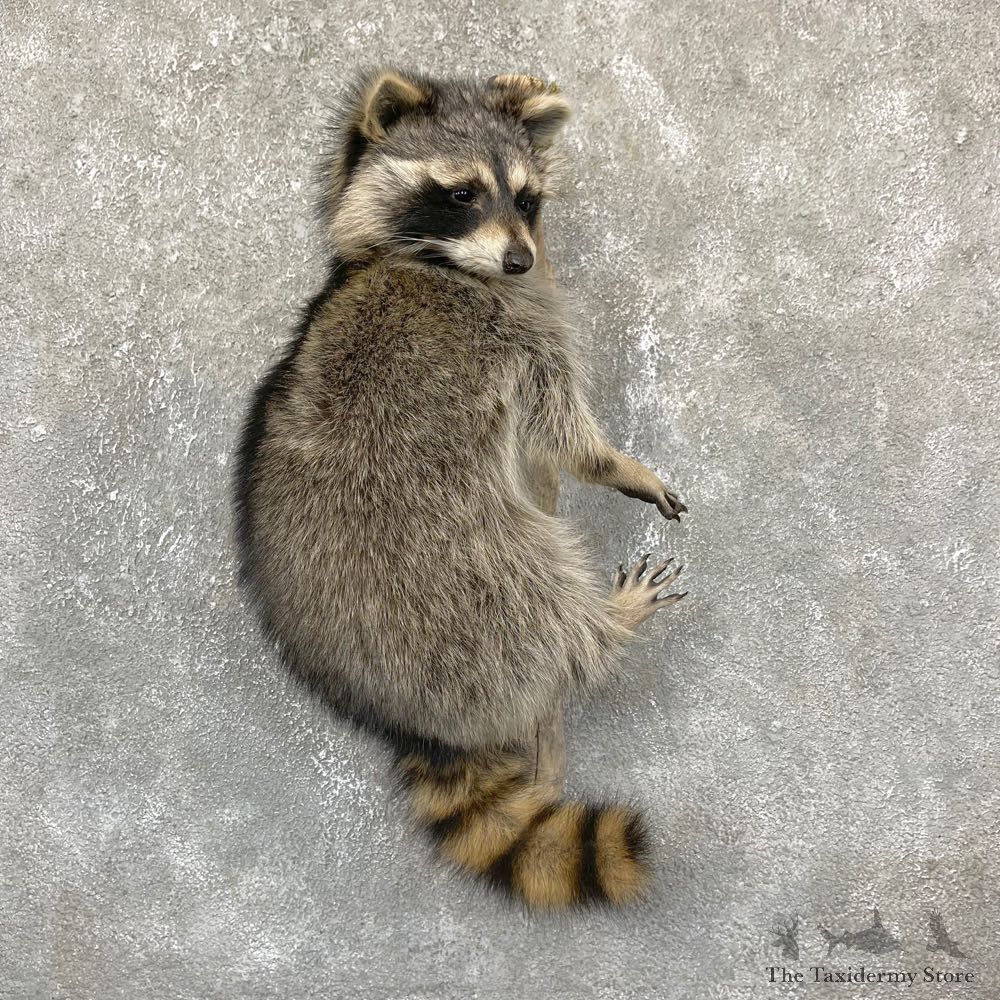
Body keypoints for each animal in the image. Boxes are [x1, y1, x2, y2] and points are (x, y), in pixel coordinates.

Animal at [233, 68, 688, 909]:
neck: (443, 263)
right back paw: (604, 625)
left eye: (527, 198)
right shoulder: (506, 336)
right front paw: (615, 463)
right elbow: (560, 430)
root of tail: (420, 720)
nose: (520, 260)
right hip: (463, 574)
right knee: (541, 583)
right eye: (462, 193)